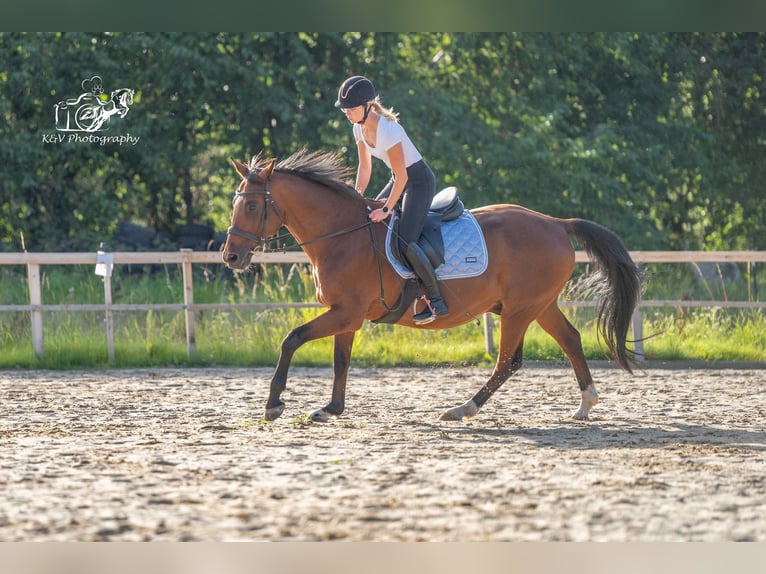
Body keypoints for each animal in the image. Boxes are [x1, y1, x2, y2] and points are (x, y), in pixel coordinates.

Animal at [225, 151, 644, 426]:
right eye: (235, 204)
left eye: (251, 207)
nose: (231, 257)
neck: (342, 236)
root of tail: (556, 223)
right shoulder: (346, 316)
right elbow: (340, 360)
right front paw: (331, 409)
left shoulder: (345, 312)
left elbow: (291, 339)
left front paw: (273, 404)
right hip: (539, 306)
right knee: (570, 339)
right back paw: (586, 403)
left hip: (520, 310)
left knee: (507, 362)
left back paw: (464, 408)